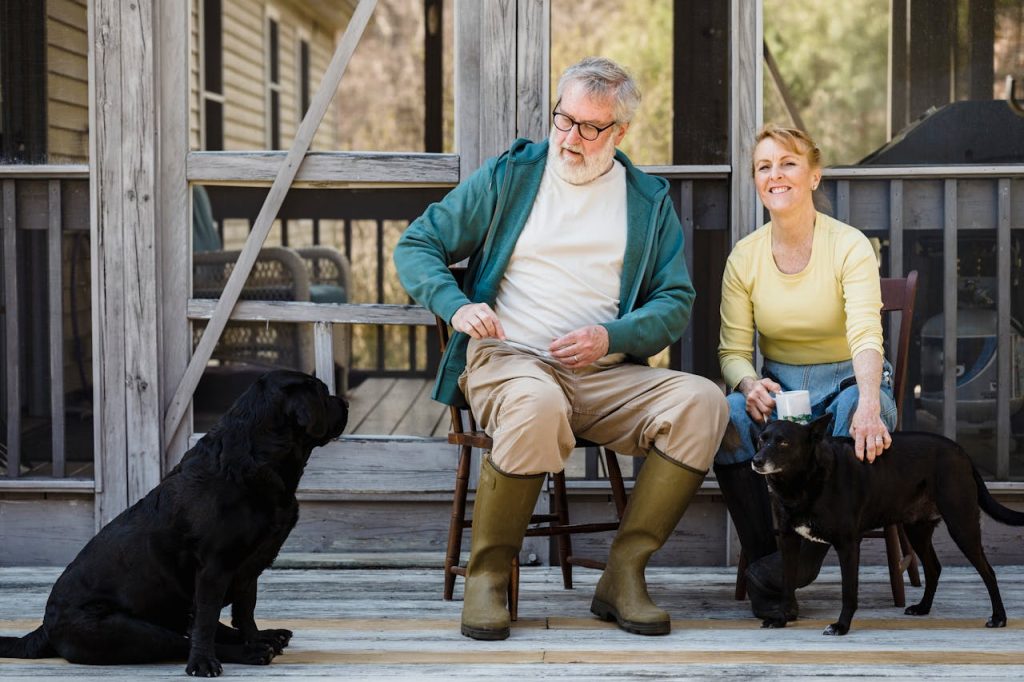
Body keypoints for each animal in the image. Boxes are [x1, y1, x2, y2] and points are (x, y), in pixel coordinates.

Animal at [0, 372, 348, 675]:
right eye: (322, 393)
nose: (343, 401)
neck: (256, 459)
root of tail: (45, 627)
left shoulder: (250, 566)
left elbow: (245, 610)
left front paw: (254, 635)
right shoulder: (214, 566)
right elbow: (206, 620)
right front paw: (205, 663)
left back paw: (267, 637)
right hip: (127, 630)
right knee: (182, 638)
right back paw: (247, 652)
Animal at [749, 411, 1024, 634]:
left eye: (784, 442)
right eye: (762, 439)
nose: (756, 460)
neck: (802, 483)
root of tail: (962, 452)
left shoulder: (848, 544)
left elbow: (849, 591)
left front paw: (842, 626)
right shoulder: (788, 540)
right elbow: (787, 585)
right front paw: (781, 619)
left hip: (962, 525)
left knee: (988, 571)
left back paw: (999, 617)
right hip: (917, 530)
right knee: (934, 568)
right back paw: (923, 607)